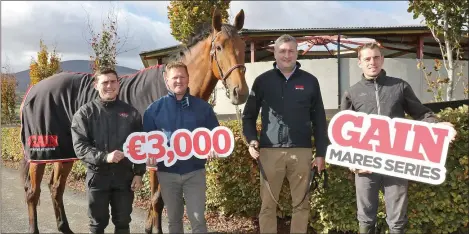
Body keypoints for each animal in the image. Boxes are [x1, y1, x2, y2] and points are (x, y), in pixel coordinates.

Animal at [19, 8, 247, 233]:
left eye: (243, 46)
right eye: (219, 47)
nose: (240, 92)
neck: (171, 92)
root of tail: (33, 92)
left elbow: (158, 200)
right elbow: (157, 201)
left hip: (64, 153)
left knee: (55, 187)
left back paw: (64, 228)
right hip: (40, 152)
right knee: (33, 192)